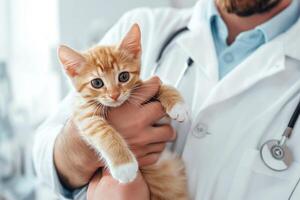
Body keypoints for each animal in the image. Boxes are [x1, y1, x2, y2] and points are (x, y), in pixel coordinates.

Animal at [58, 23, 189, 200]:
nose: (114, 95)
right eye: (97, 83)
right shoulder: (84, 115)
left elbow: (161, 86)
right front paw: (124, 166)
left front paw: (178, 105)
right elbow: (104, 133)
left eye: (124, 76)